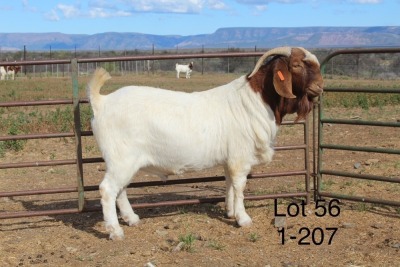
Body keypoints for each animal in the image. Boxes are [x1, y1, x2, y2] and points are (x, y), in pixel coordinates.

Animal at [86, 46, 322, 241]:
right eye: (297, 65)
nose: (319, 88)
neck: (255, 100)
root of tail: (102, 102)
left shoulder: (229, 160)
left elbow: (228, 183)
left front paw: (230, 211)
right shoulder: (240, 158)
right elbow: (239, 186)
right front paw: (243, 218)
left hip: (125, 162)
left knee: (121, 190)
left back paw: (132, 219)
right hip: (121, 159)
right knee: (108, 189)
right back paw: (116, 231)